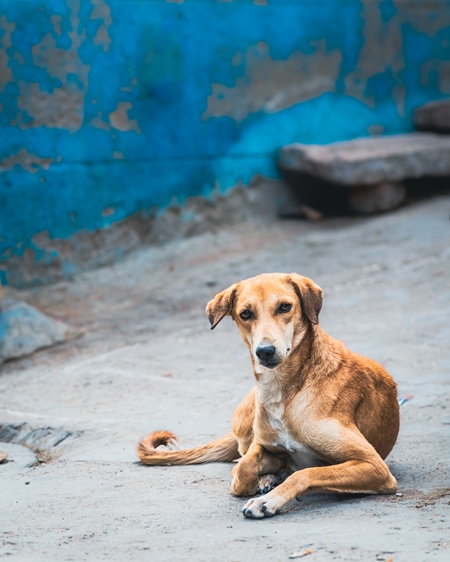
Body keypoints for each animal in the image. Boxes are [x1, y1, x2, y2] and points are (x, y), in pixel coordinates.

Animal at [135, 272, 400, 516]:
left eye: (285, 307)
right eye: (245, 314)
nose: (265, 351)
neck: (285, 393)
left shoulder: (374, 466)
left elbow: (307, 472)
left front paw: (268, 500)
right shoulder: (264, 445)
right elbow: (245, 468)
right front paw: (260, 479)